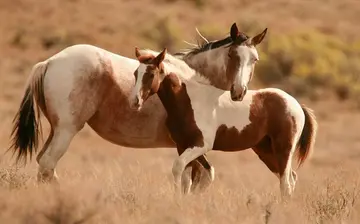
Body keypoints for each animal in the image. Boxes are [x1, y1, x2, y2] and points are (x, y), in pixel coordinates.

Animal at [131, 48, 316, 198]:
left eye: (151, 74)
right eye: (135, 74)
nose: (135, 101)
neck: (189, 100)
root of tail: (296, 104)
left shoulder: (201, 145)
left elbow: (178, 168)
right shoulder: (183, 145)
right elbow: (188, 177)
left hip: (283, 149)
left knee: (286, 183)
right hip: (265, 151)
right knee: (291, 178)